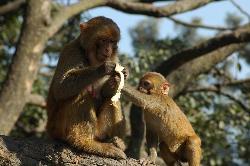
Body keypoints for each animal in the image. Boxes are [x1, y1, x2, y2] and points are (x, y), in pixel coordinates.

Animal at [47, 16, 128, 160]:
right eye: (103, 40)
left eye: (112, 42)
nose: (108, 50)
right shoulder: (71, 50)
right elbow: (60, 88)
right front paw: (103, 68)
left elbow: (107, 93)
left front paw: (117, 78)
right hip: (57, 129)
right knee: (81, 93)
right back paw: (86, 143)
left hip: (100, 130)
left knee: (113, 99)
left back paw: (117, 142)